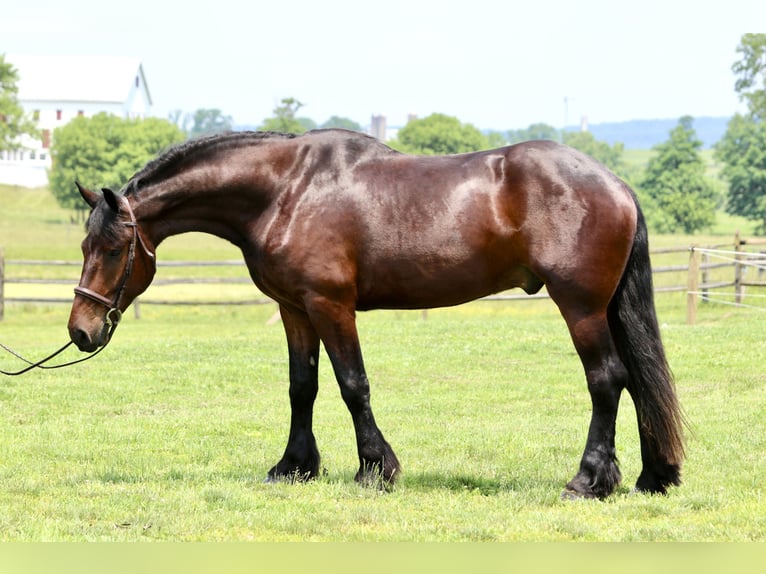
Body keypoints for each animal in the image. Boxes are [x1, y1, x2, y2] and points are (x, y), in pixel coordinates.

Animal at [67, 129, 685, 499]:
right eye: (83, 245)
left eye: (114, 248)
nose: (80, 330)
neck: (284, 191)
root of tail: (617, 183)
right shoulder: (295, 309)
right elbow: (302, 387)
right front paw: (294, 466)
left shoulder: (330, 305)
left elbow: (352, 384)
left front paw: (374, 468)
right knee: (635, 382)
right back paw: (652, 476)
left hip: (580, 307)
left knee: (607, 381)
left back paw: (589, 480)